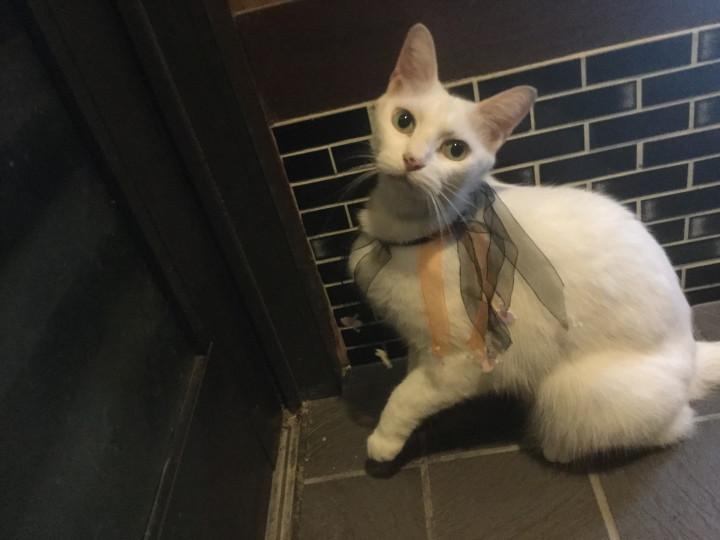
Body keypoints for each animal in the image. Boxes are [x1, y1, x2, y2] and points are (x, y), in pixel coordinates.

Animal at [348, 23, 720, 464]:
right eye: (403, 120)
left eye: (455, 150)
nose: (412, 161)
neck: (413, 232)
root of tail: (692, 352)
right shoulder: (424, 341)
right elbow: (412, 373)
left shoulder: (465, 362)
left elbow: (407, 396)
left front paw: (383, 441)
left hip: (572, 394)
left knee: (675, 425)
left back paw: (556, 445)